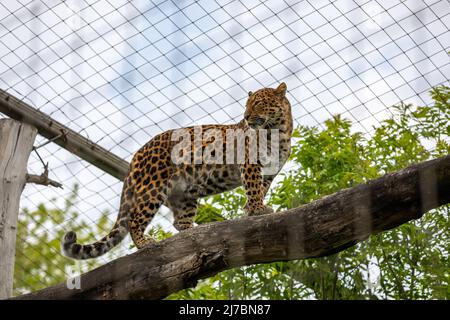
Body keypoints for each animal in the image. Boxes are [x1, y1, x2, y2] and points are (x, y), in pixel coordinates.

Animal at [63, 82, 294, 260]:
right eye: (246, 104)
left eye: (258, 103)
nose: (246, 117)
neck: (279, 131)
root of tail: (136, 155)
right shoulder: (250, 163)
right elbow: (254, 189)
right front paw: (258, 210)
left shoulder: (270, 172)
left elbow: (260, 189)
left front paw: (252, 210)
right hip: (152, 187)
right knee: (134, 219)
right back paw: (145, 243)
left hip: (184, 194)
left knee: (179, 222)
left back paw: (195, 231)